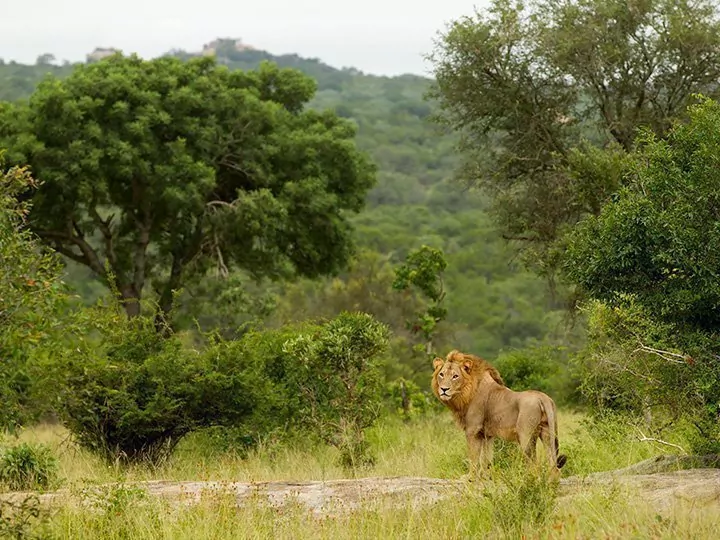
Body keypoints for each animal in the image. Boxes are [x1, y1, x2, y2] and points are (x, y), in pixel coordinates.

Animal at [434, 350, 568, 472]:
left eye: (455, 376)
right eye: (441, 374)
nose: (444, 389)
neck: (467, 392)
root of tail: (543, 398)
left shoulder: (473, 430)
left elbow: (474, 458)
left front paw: (470, 478)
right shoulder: (487, 435)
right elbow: (486, 460)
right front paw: (485, 477)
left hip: (526, 435)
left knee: (535, 465)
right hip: (547, 432)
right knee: (553, 465)